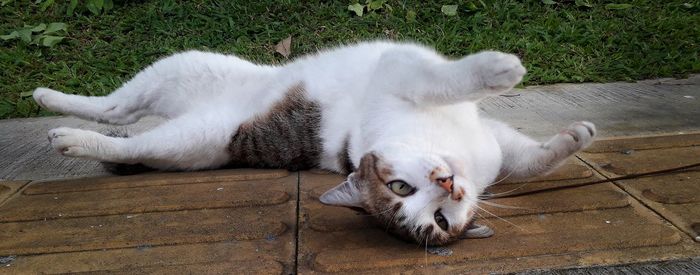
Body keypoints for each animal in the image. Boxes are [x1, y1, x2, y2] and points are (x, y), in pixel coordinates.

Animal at [30, 41, 592, 246]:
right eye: (401, 188)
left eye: (438, 219)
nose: (449, 185)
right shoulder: (400, 70)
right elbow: (445, 80)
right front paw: (497, 71)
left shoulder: (492, 142)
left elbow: (529, 160)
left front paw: (571, 138)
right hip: (181, 78)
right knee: (116, 119)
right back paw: (61, 121)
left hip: (188, 122)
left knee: (121, 116)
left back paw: (54, 104)